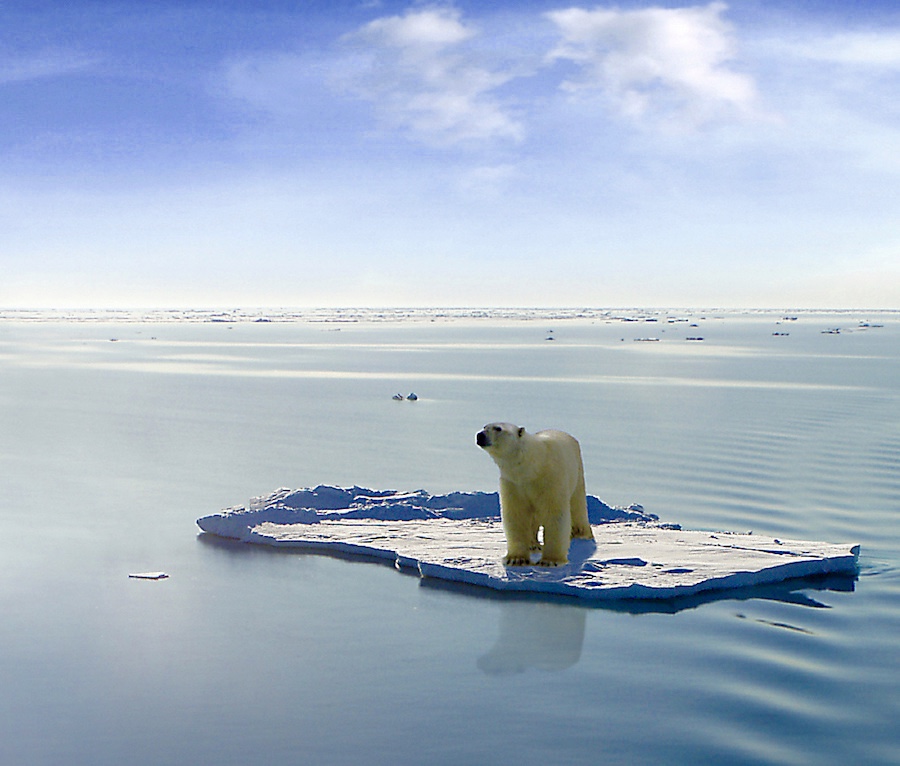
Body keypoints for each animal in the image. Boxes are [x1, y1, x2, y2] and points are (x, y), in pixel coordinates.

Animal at [474, 424, 596, 568]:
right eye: (484, 426)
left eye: (498, 428)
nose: (480, 435)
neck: (532, 467)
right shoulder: (513, 484)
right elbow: (517, 515)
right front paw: (516, 559)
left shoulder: (551, 479)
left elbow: (555, 515)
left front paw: (550, 560)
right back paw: (533, 545)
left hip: (577, 472)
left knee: (577, 505)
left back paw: (581, 533)